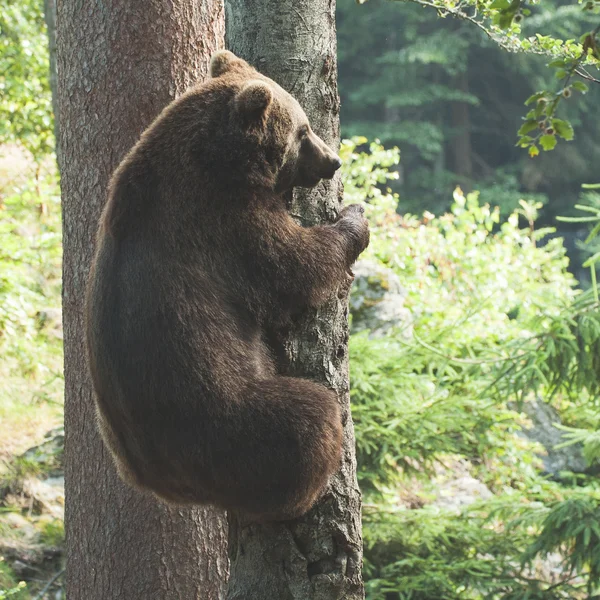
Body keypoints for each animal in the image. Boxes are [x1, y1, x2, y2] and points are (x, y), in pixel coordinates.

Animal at [85, 50, 370, 520]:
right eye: (303, 130)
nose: (333, 161)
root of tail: (172, 482)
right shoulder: (226, 222)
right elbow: (294, 265)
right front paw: (354, 220)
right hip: (227, 416)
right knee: (308, 418)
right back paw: (308, 489)